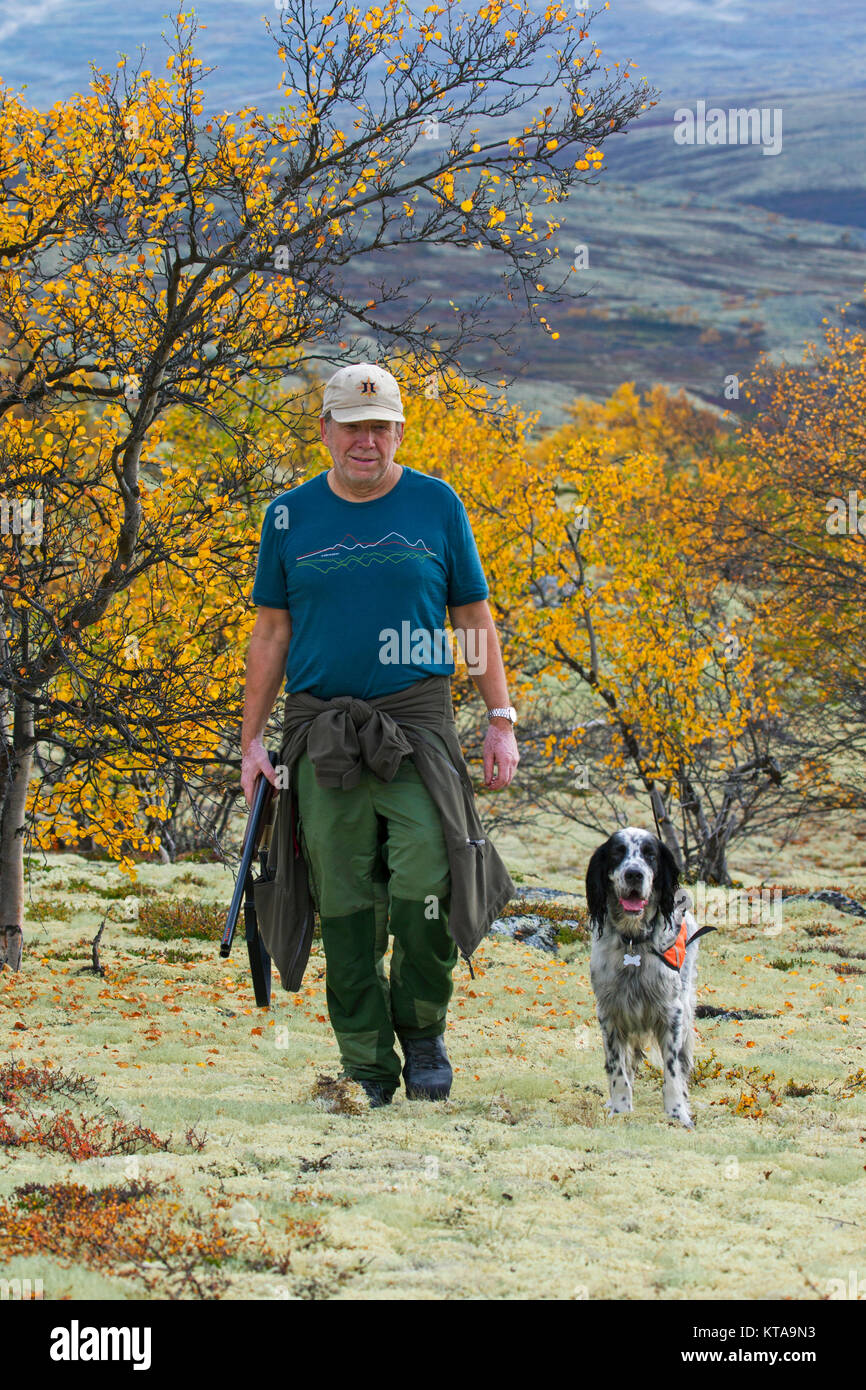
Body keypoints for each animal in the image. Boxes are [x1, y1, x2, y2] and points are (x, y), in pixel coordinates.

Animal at [583, 822, 711, 1128]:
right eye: (617, 853)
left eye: (650, 855)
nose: (634, 874)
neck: (633, 941)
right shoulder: (610, 1013)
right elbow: (617, 1069)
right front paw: (620, 1109)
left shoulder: (672, 1014)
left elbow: (672, 1071)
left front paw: (677, 1113)